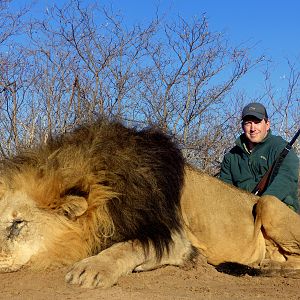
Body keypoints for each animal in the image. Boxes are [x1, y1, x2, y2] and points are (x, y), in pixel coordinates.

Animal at [0, 118, 300, 288]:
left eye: (18, 223)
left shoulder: (176, 237)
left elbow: (131, 245)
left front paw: (91, 269)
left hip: (268, 203)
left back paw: (268, 267)